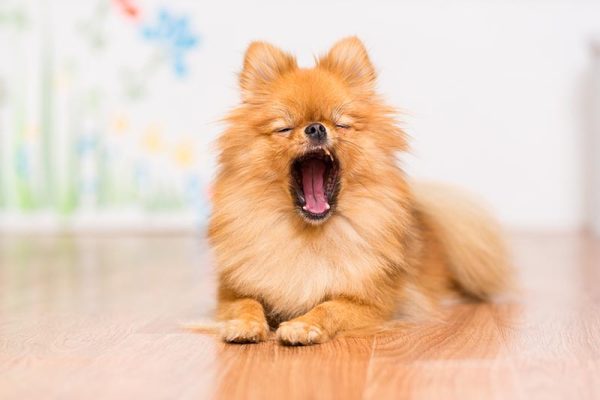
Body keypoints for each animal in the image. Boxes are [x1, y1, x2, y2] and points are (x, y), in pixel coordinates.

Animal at [207, 36, 510, 346]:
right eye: (284, 128)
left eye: (341, 124)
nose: (315, 128)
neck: (310, 235)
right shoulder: (230, 293)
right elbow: (246, 302)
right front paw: (244, 323)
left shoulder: (374, 305)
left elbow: (330, 307)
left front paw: (304, 325)